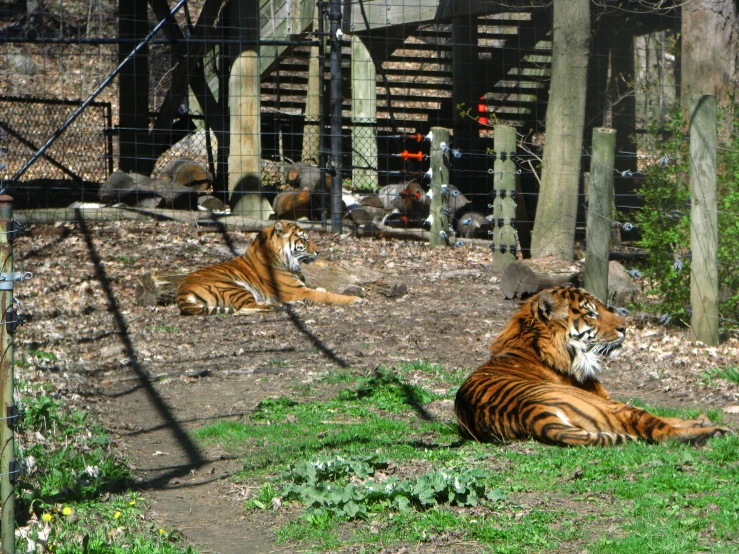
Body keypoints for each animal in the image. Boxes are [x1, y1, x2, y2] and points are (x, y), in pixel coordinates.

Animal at [179, 220, 364, 314]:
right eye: (304, 239)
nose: (318, 251)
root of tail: (182, 292)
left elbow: (321, 290)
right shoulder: (300, 290)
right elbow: (328, 296)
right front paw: (355, 299)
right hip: (231, 286)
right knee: (244, 308)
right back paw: (277, 305)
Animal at [454, 284, 732, 444]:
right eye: (591, 313)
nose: (625, 327)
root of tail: (530, 413)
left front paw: (698, 419)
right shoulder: (606, 398)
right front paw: (700, 423)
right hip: (610, 407)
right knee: (661, 432)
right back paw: (714, 431)